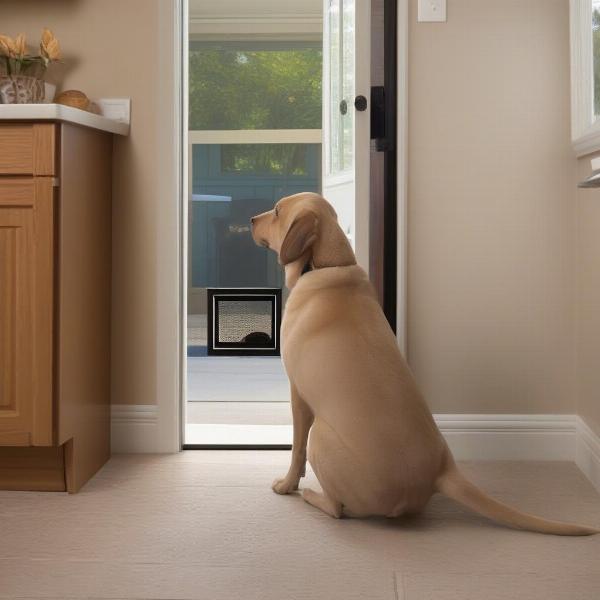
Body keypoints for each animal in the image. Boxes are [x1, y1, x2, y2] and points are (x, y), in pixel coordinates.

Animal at [251, 191, 596, 536]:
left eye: (278, 211)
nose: (252, 219)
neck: (325, 264)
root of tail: (438, 472)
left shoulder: (298, 394)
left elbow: (296, 448)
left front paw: (287, 485)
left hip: (321, 436)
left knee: (338, 509)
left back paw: (313, 496)